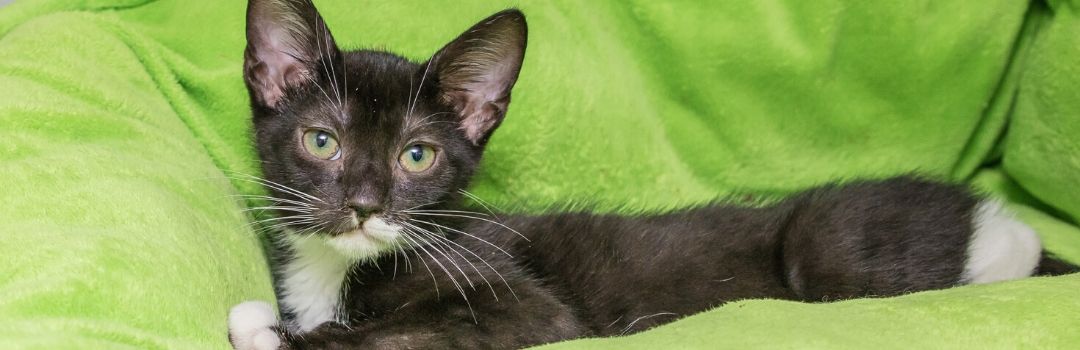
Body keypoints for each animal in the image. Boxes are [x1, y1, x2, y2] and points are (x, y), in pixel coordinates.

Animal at [225, 1, 1071, 347]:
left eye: (417, 156)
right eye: (323, 141)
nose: (364, 205)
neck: (340, 266)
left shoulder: (530, 311)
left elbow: (401, 334)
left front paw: (280, 334)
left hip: (829, 245)